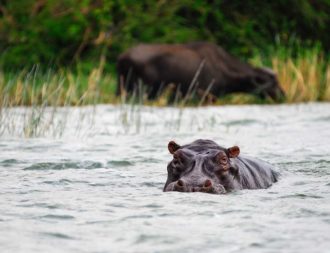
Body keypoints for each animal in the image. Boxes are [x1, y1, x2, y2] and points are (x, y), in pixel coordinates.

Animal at [116, 41, 284, 100]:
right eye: (273, 82)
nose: (283, 94)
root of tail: (121, 58)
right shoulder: (206, 95)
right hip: (141, 90)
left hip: (122, 88)